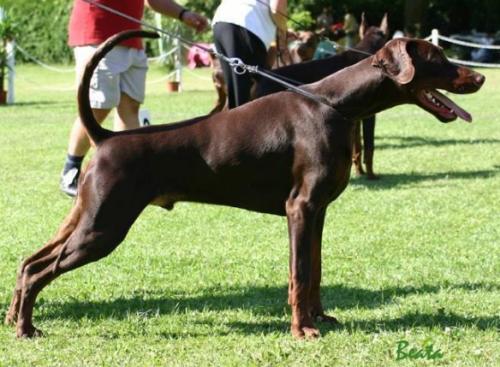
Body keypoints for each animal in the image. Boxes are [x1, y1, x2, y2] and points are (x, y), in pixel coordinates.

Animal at [4, 30, 484, 340]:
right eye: (438, 59)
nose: (479, 77)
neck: (334, 104)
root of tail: (105, 137)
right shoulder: (300, 208)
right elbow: (299, 273)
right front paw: (302, 330)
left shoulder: (319, 212)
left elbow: (315, 271)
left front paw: (321, 318)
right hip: (103, 227)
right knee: (42, 270)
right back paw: (26, 328)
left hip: (85, 218)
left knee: (29, 262)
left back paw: (12, 318)